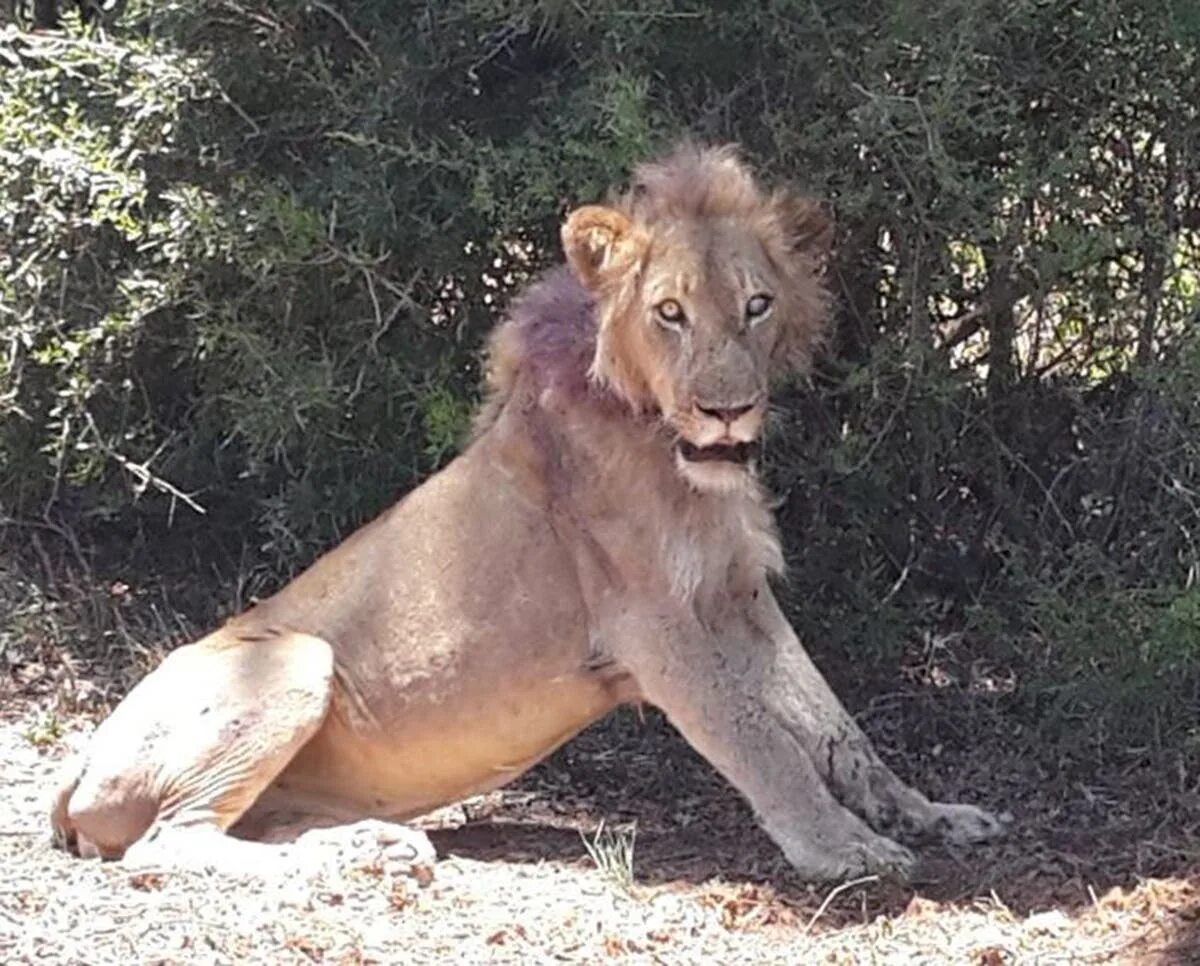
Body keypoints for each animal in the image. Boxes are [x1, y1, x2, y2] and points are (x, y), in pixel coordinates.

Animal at [49, 143, 1003, 883]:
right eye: (670, 312)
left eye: (757, 305)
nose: (728, 412)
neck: (673, 460)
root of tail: (83, 760)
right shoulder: (654, 626)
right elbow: (763, 740)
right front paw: (846, 851)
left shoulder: (737, 597)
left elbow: (835, 724)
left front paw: (933, 816)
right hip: (294, 660)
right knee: (166, 846)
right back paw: (357, 860)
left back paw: (370, 845)